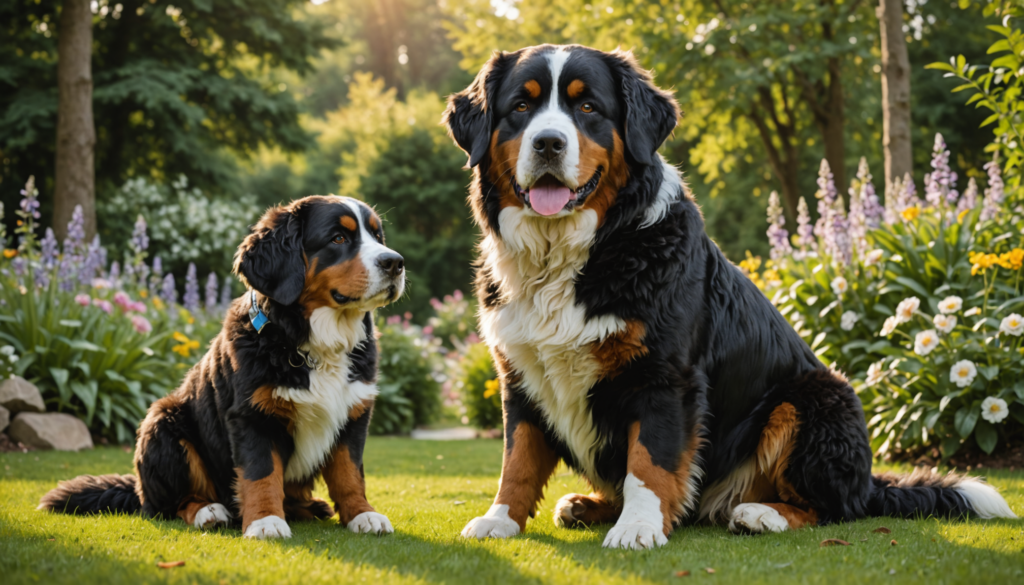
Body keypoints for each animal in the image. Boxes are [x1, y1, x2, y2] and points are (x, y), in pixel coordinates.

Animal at [39, 196, 407, 540]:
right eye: (338, 238)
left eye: (377, 235)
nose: (396, 262)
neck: (313, 345)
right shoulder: (251, 416)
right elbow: (261, 473)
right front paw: (265, 521)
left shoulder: (354, 413)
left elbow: (350, 473)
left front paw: (362, 514)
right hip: (163, 422)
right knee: (169, 505)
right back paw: (210, 511)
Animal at [442, 44, 1015, 549]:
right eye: (521, 107)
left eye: (588, 108)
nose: (548, 144)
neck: (570, 252)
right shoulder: (521, 373)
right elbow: (518, 458)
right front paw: (500, 519)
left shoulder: (665, 376)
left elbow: (650, 460)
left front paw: (638, 528)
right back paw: (589, 505)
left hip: (812, 399)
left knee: (836, 508)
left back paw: (760, 513)